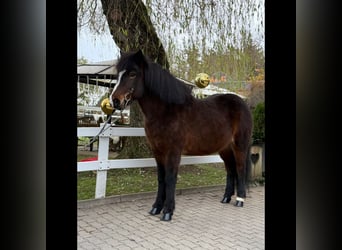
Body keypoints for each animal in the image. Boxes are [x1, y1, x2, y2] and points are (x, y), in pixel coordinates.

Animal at [111, 49, 252, 221]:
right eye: (117, 74)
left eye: (132, 74)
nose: (115, 100)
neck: (166, 111)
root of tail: (243, 103)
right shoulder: (158, 152)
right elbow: (161, 178)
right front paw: (156, 208)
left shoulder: (173, 151)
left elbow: (170, 178)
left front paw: (168, 212)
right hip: (224, 148)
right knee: (230, 169)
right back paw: (226, 198)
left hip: (240, 145)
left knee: (240, 168)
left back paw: (239, 200)